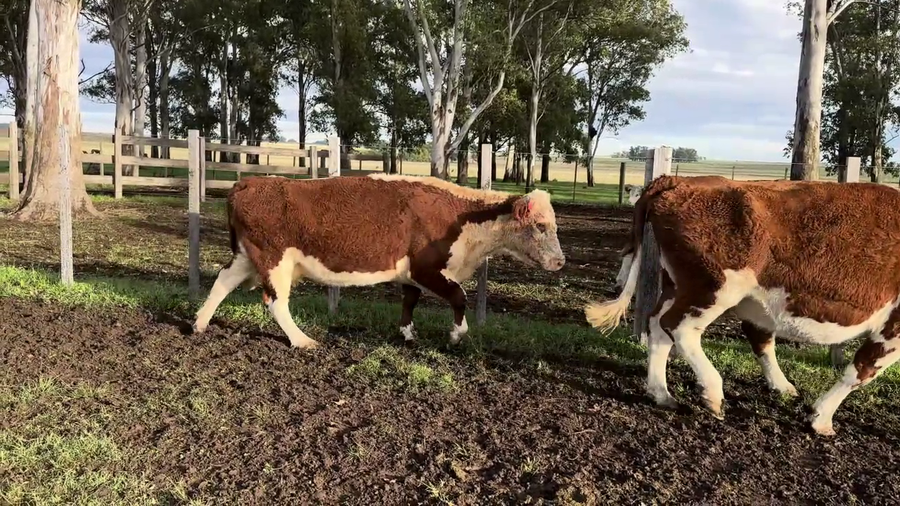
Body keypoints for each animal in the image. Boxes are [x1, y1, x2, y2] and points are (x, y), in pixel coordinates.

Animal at [193, 174, 566, 349]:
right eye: (540, 226)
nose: (561, 262)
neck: (462, 217)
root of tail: (249, 182)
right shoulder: (427, 268)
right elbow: (459, 296)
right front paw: (456, 335)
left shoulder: (411, 274)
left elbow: (409, 301)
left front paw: (408, 334)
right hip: (275, 260)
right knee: (274, 302)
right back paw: (302, 340)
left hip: (247, 255)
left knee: (223, 281)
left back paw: (199, 323)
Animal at [584, 174, 900, 436]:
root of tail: (680, 180)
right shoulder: (893, 328)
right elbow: (861, 370)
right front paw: (820, 419)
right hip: (713, 289)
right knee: (678, 327)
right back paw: (713, 392)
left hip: (679, 285)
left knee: (658, 326)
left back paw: (662, 393)